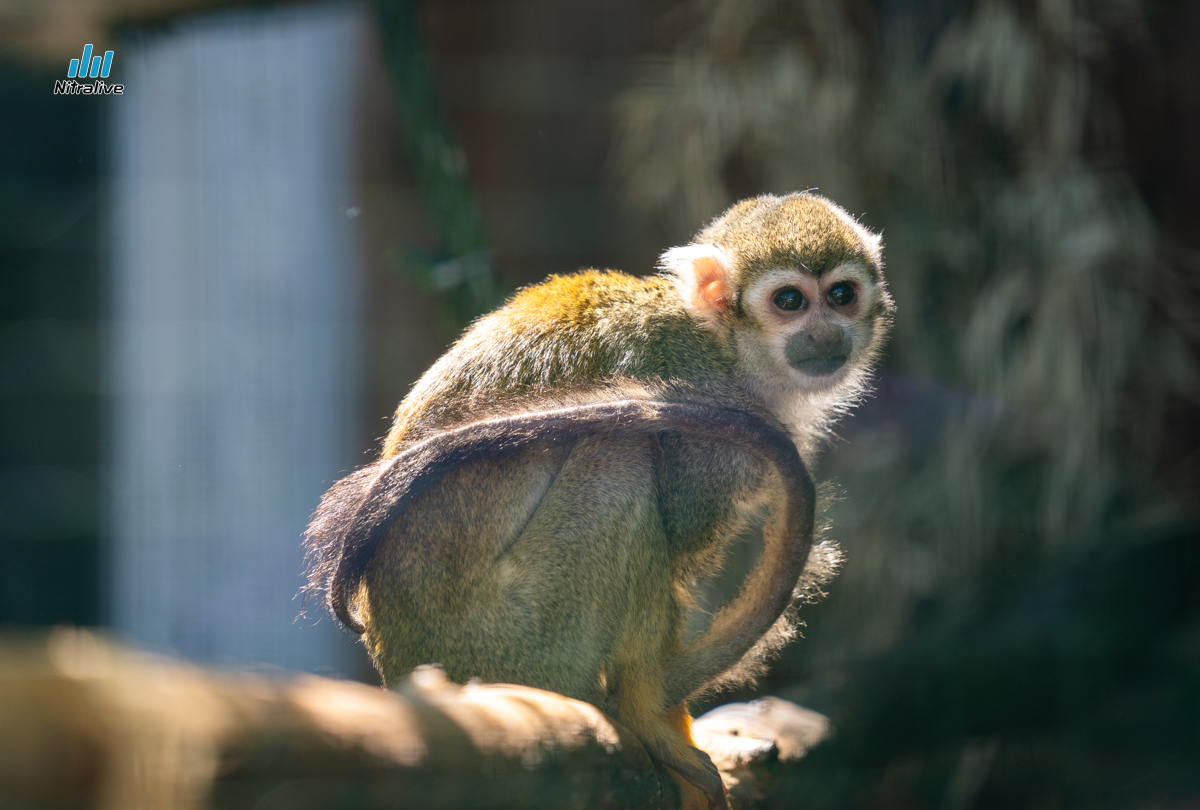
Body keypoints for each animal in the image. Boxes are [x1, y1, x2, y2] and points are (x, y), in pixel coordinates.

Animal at [307, 193, 892, 806]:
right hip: (512, 643)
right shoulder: (707, 415)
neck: (725, 344)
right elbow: (679, 542)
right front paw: (653, 714)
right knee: (621, 458)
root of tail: (400, 663)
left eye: (841, 295)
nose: (825, 334)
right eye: (789, 301)